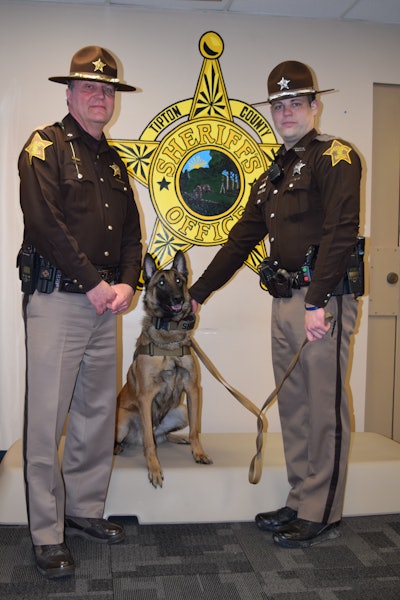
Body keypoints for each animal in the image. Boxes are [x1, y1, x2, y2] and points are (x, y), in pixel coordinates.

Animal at [114, 250, 211, 488]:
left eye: (179, 281)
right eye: (160, 283)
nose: (178, 299)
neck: (169, 336)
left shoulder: (193, 390)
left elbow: (195, 430)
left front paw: (198, 452)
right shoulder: (146, 397)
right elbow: (149, 444)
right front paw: (154, 469)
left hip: (181, 410)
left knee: (162, 436)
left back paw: (179, 437)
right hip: (123, 421)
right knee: (144, 438)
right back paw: (119, 447)